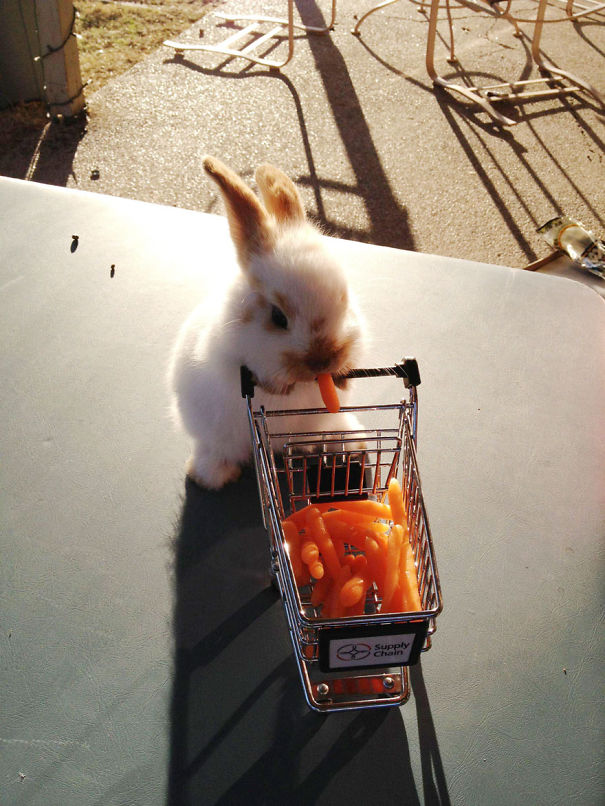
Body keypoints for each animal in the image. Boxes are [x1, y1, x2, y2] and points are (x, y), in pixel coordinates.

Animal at [168, 156, 366, 490]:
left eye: (344, 298)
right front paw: (283, 387)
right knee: (217, 450)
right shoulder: (231, 359)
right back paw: (211, 475)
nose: (324, 360)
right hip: (212, 432)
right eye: (278, 317)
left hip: (326, 422)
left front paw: (340, 377)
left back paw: (350, 444)